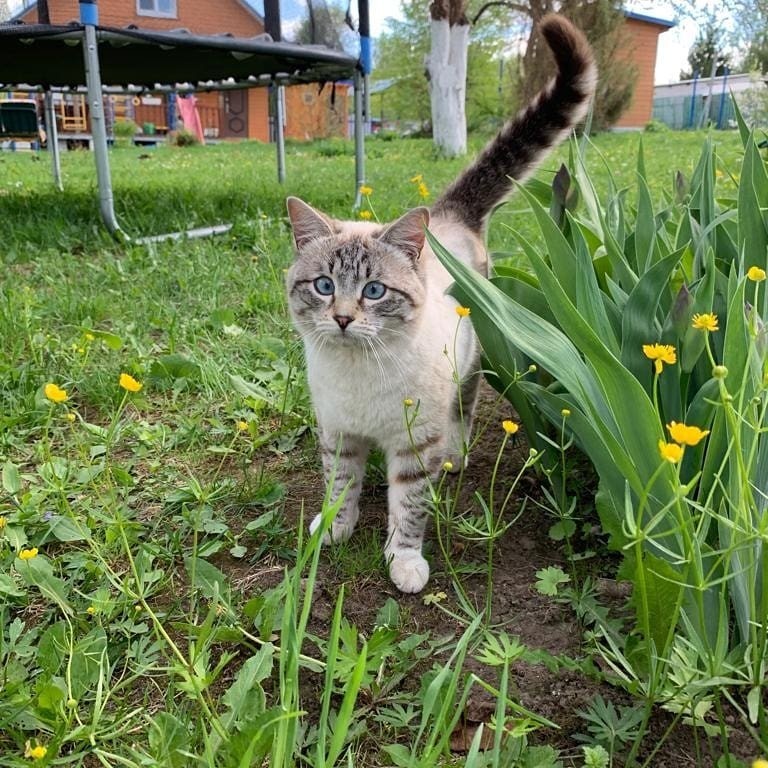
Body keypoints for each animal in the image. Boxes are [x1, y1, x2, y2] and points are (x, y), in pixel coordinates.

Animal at [284, 13, 596, 592]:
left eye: (374, 291)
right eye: (323, 286)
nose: (342, 318)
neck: (358, 371)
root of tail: (449, 212)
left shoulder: (413, 445)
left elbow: (408, 507)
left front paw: (404, 563)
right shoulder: (338, 433)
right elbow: (339, 485)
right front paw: (333, 529)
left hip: (473, 357)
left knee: (466, 405)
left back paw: (457, 453)